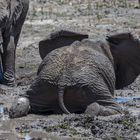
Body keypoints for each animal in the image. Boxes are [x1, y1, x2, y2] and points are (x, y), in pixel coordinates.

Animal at [9, 30, 140, 118]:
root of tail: (62, 82)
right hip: (92, 87)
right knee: (112, 107)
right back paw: (94, 110)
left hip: (41, 84)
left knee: (24, 98)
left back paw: (14, 112)